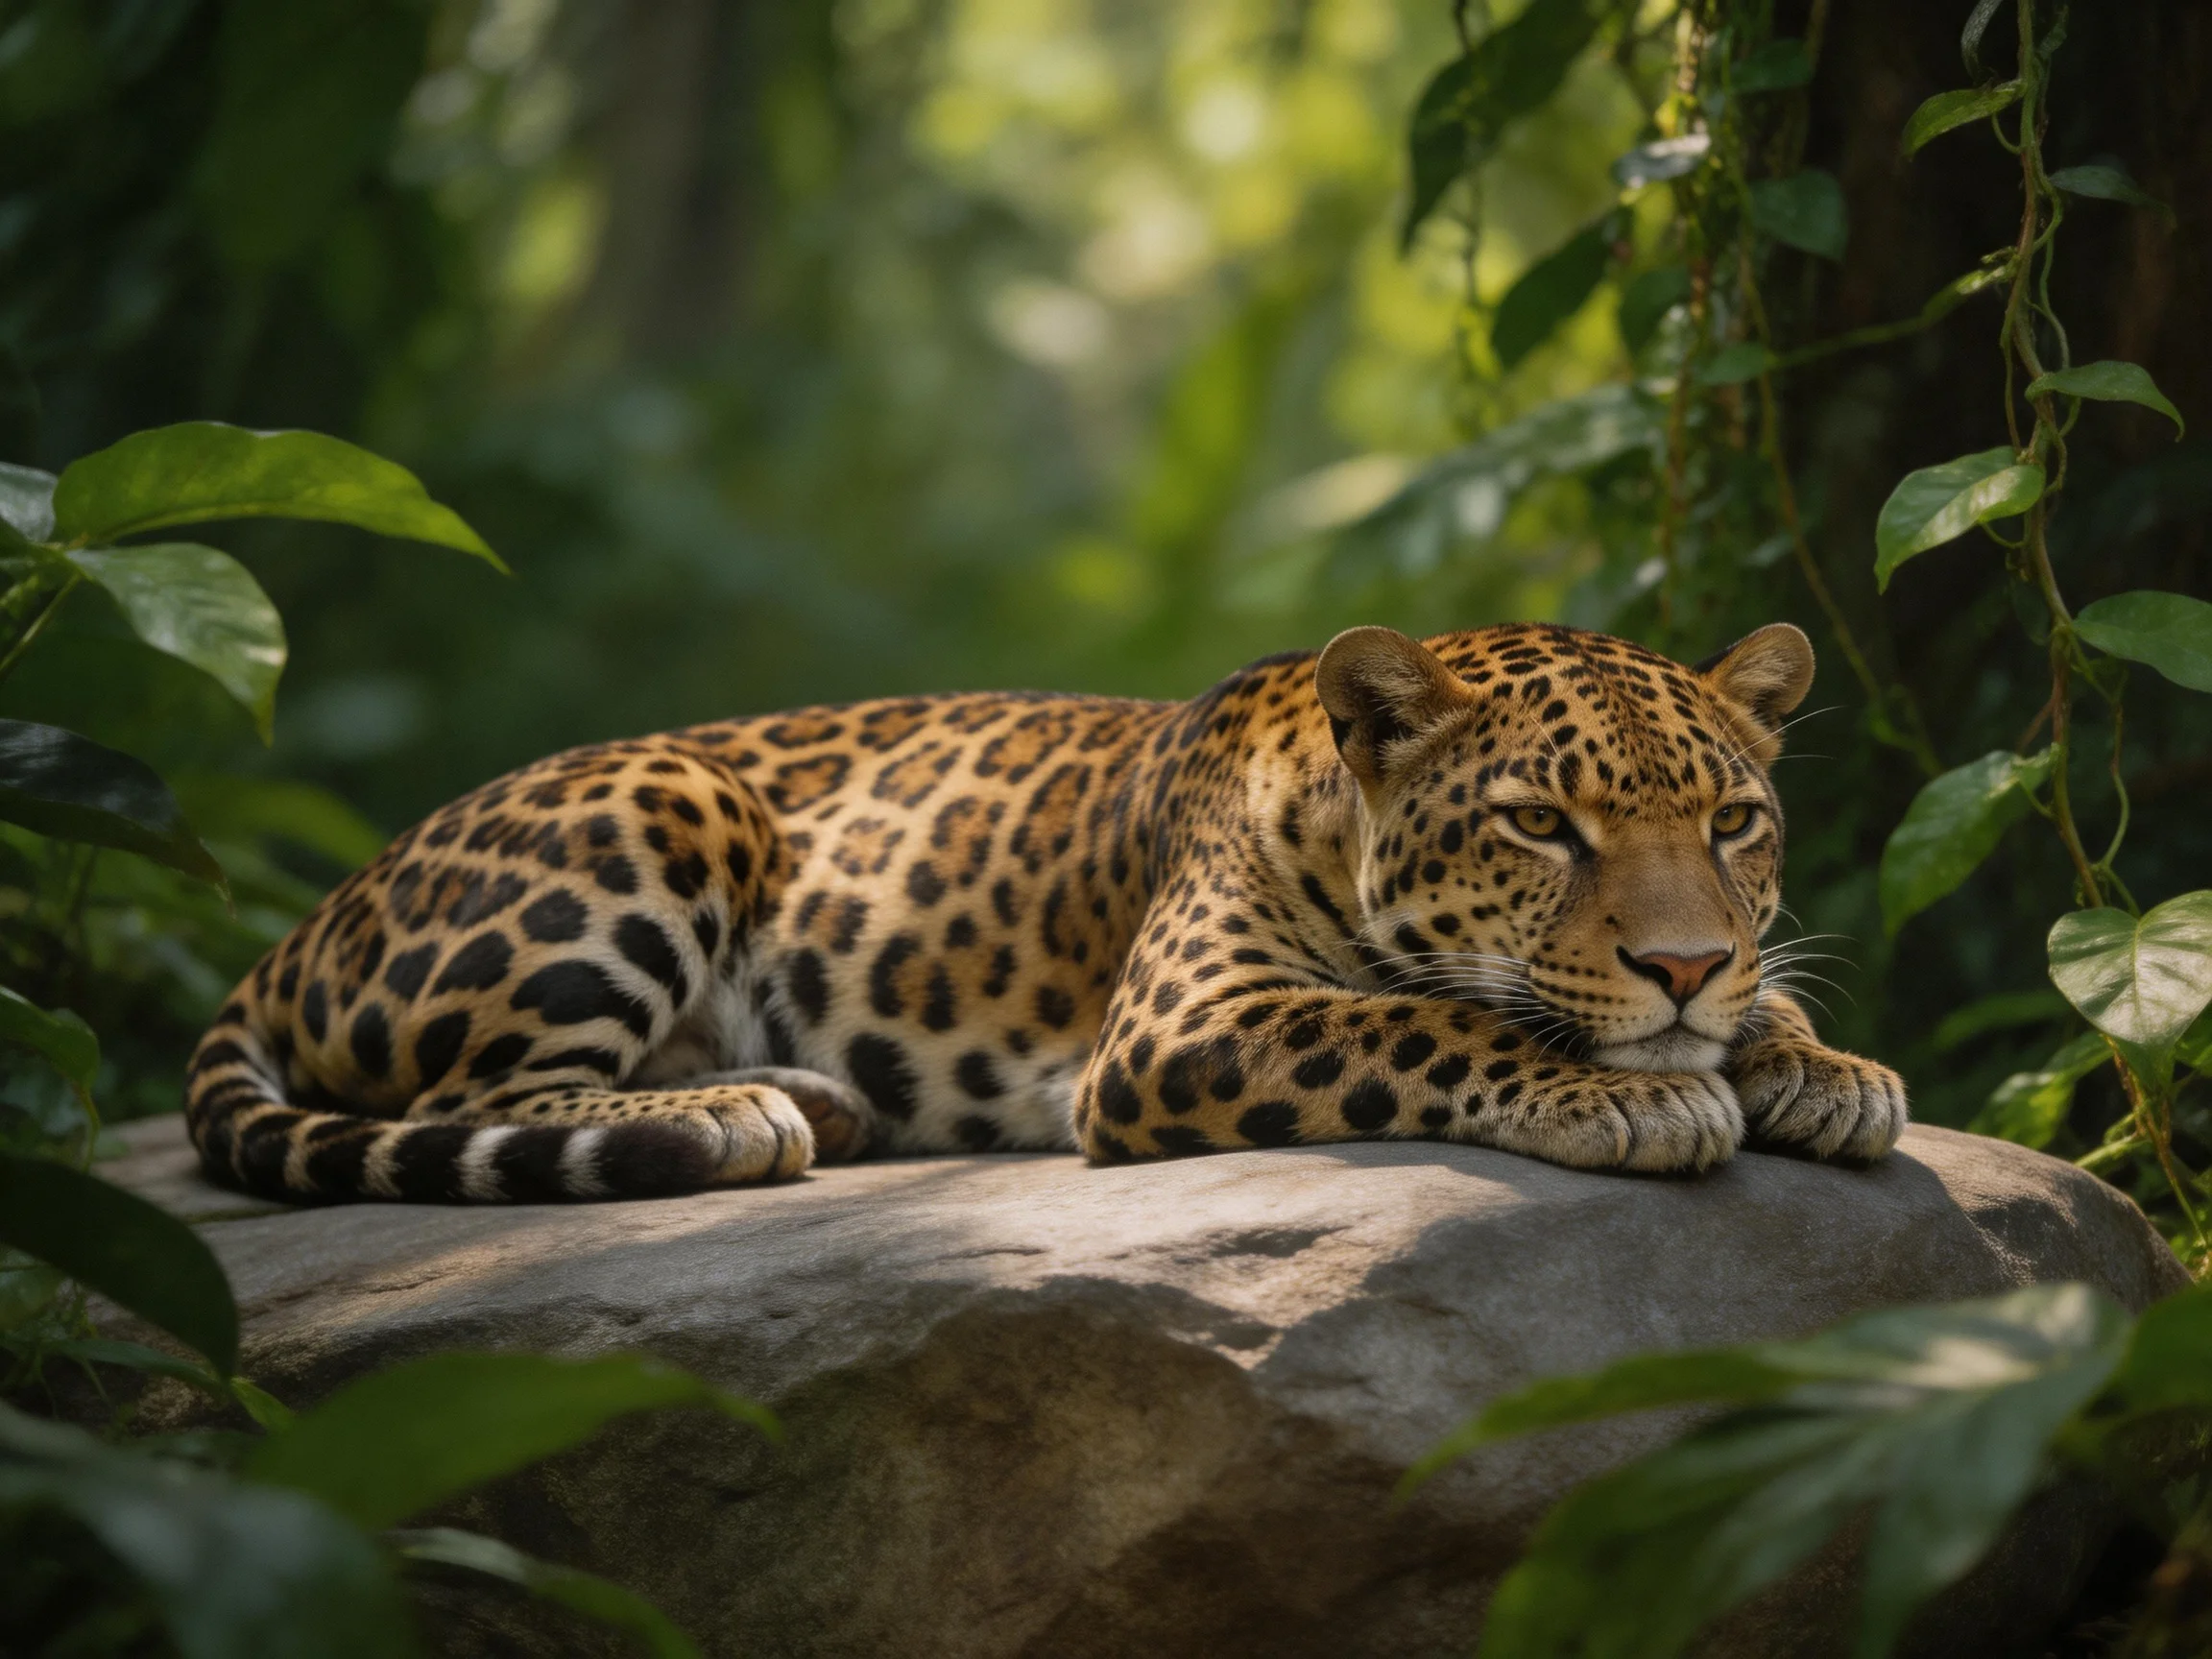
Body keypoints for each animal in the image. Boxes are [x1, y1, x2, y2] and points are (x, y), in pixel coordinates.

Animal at [186, 619, 1907, 1204]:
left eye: (1732, 821)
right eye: (1541, 825)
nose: (1680, 961)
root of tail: (303, 923)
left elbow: (1758, 1003)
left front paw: (1818, 1065)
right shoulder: (1180, 1027)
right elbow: (1423, 1019)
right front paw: (1643, 1093)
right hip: (667, 795)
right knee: (474, 1097)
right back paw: (740, 1110)